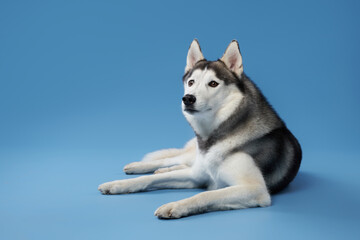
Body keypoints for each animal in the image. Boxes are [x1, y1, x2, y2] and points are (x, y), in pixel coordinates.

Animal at [97, 38, 300, 218]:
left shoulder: (254, 189)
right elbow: (148, 179)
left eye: (213, 83)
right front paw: (118, 184)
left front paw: (175, 206)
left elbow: (206, 194)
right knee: (171, 159)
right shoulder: (197, 176)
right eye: (191, 82)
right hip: (191, 157)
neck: (218, 135)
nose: (187, 98)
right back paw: (140, 166)